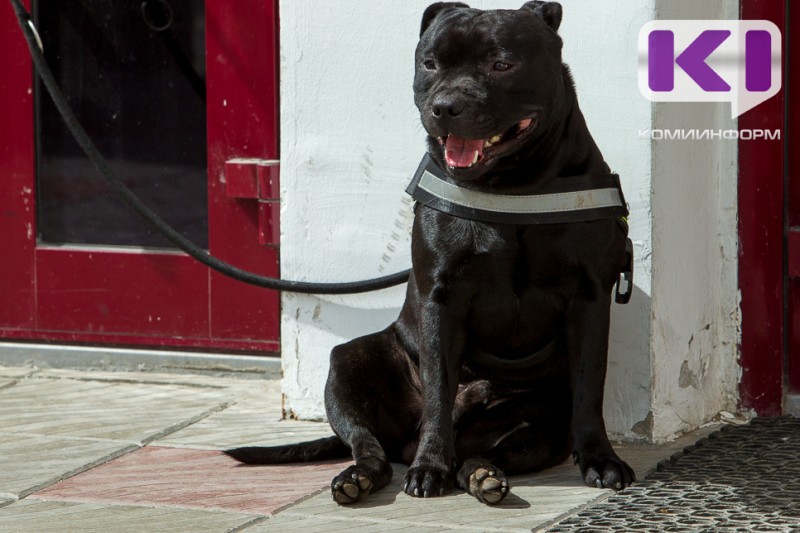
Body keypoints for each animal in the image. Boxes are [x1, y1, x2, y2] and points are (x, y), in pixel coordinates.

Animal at [227, 2, 636, 504]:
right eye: (430, 64)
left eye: (502, 64)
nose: (445, 106)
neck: (513, 189)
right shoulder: (442, 298)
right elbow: (439, 390)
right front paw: (430, 467)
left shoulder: (590, 297)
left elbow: (589, 385)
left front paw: (600, 459)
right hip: (349, 363)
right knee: (368, 443)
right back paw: (363, 476)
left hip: (540, 425)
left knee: (491, 451)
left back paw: (481, 476)